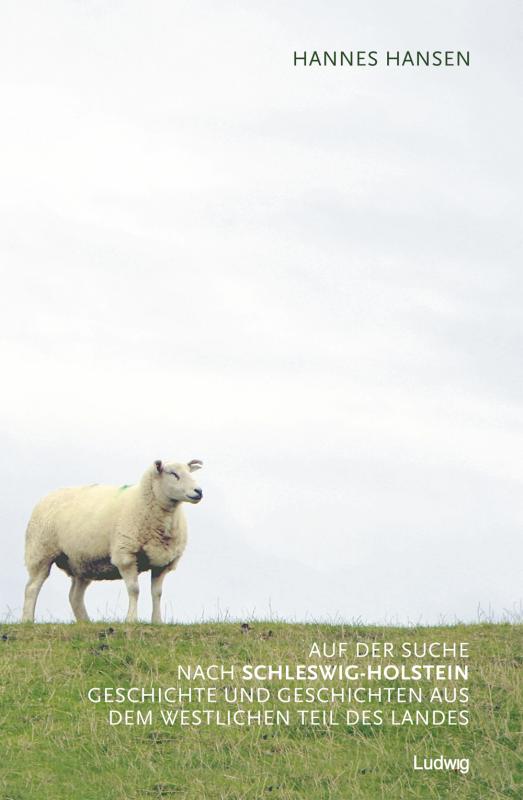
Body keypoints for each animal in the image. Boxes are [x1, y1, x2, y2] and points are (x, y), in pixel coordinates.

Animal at [21, 456, 205, 624]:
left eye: (190, 472)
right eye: (173, 473)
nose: (199, 491)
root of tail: (47, 496)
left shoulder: (162, 561)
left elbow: (157, 593)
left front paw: (157, 621)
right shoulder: (125, 555)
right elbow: (134, 589)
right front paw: (131, 619)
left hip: (81, 561)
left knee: (75, 596)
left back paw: (85, 623)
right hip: (41, 552)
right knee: (32, 588)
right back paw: (28, 620)